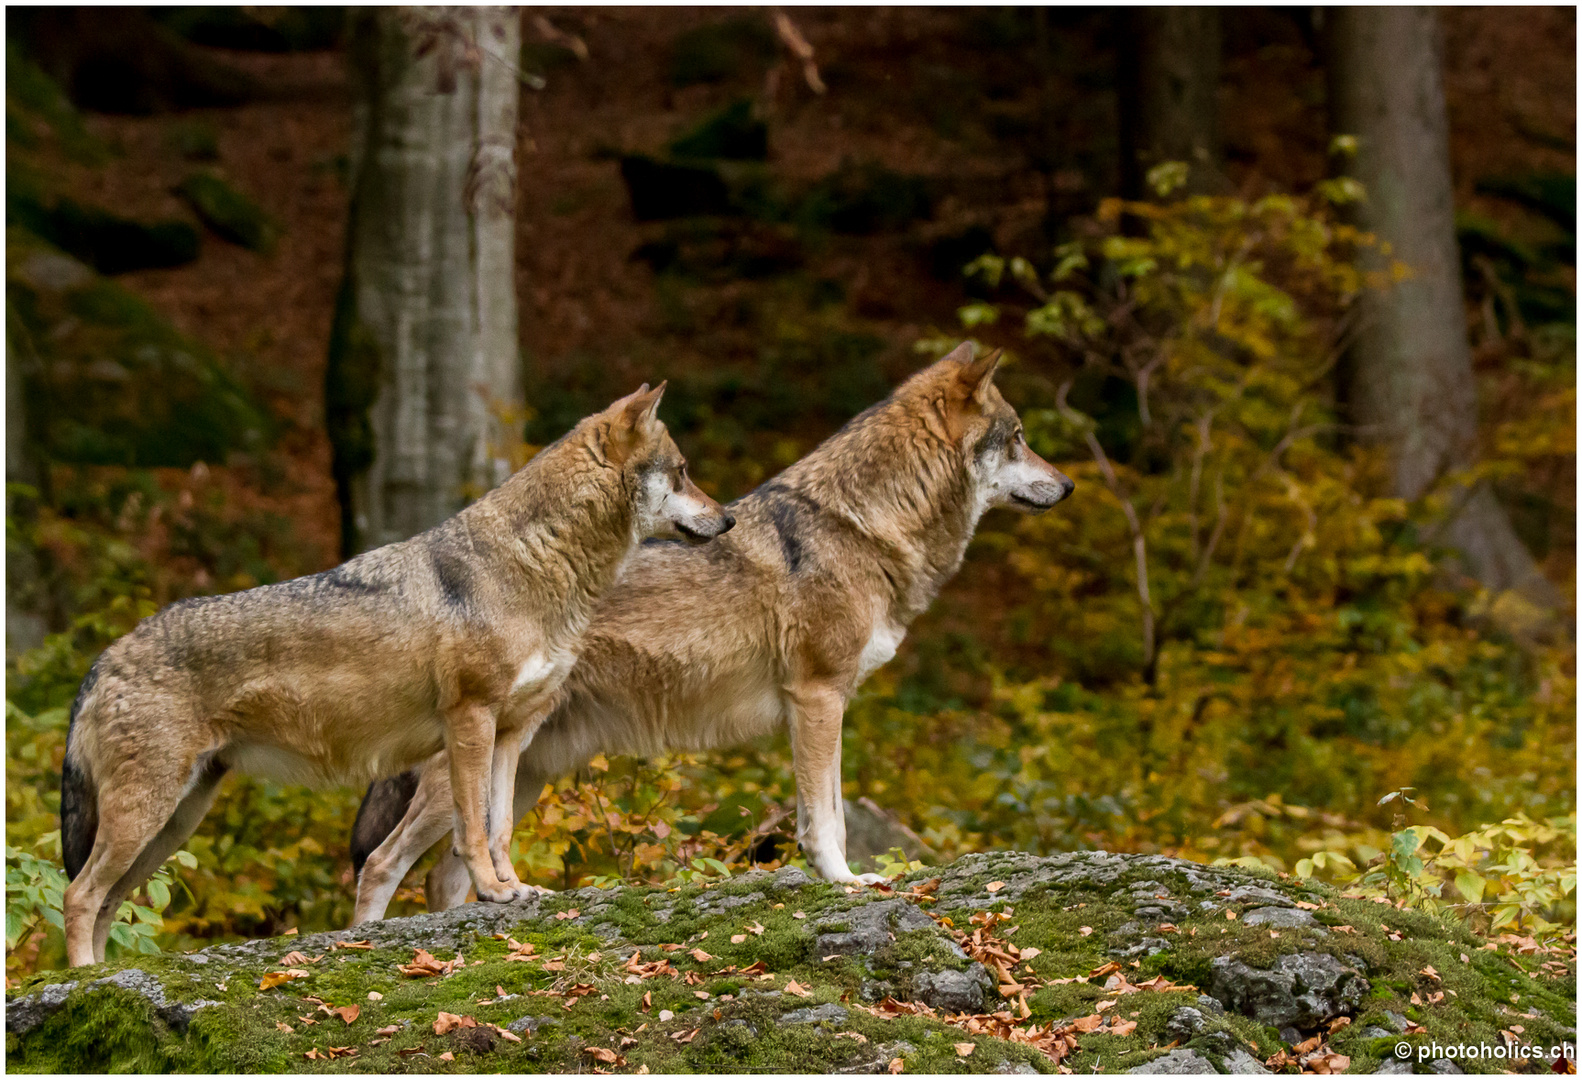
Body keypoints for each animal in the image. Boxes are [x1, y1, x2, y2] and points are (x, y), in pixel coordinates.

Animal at [55, 384, 734, 967]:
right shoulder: (470, 720)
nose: (727, 519)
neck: (537, 566)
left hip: (173, 823)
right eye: (682, 471)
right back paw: (83, 980)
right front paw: (493, 893)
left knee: (107, 901)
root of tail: (102, 661)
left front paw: (515, 889)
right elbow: (473, 831)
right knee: (79, 894)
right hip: (148, 816)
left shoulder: (512, 735)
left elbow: (501, 828)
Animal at [348, 344, 1075, 923]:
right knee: (382, 863)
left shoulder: (828, 703)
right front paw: (846, 882)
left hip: (522, 770)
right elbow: (829, 821)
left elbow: (830, 809)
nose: (1067, 485)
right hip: (468, 770)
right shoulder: (817, 697)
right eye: (1018, 436)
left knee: (445, 872)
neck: (860, 524)